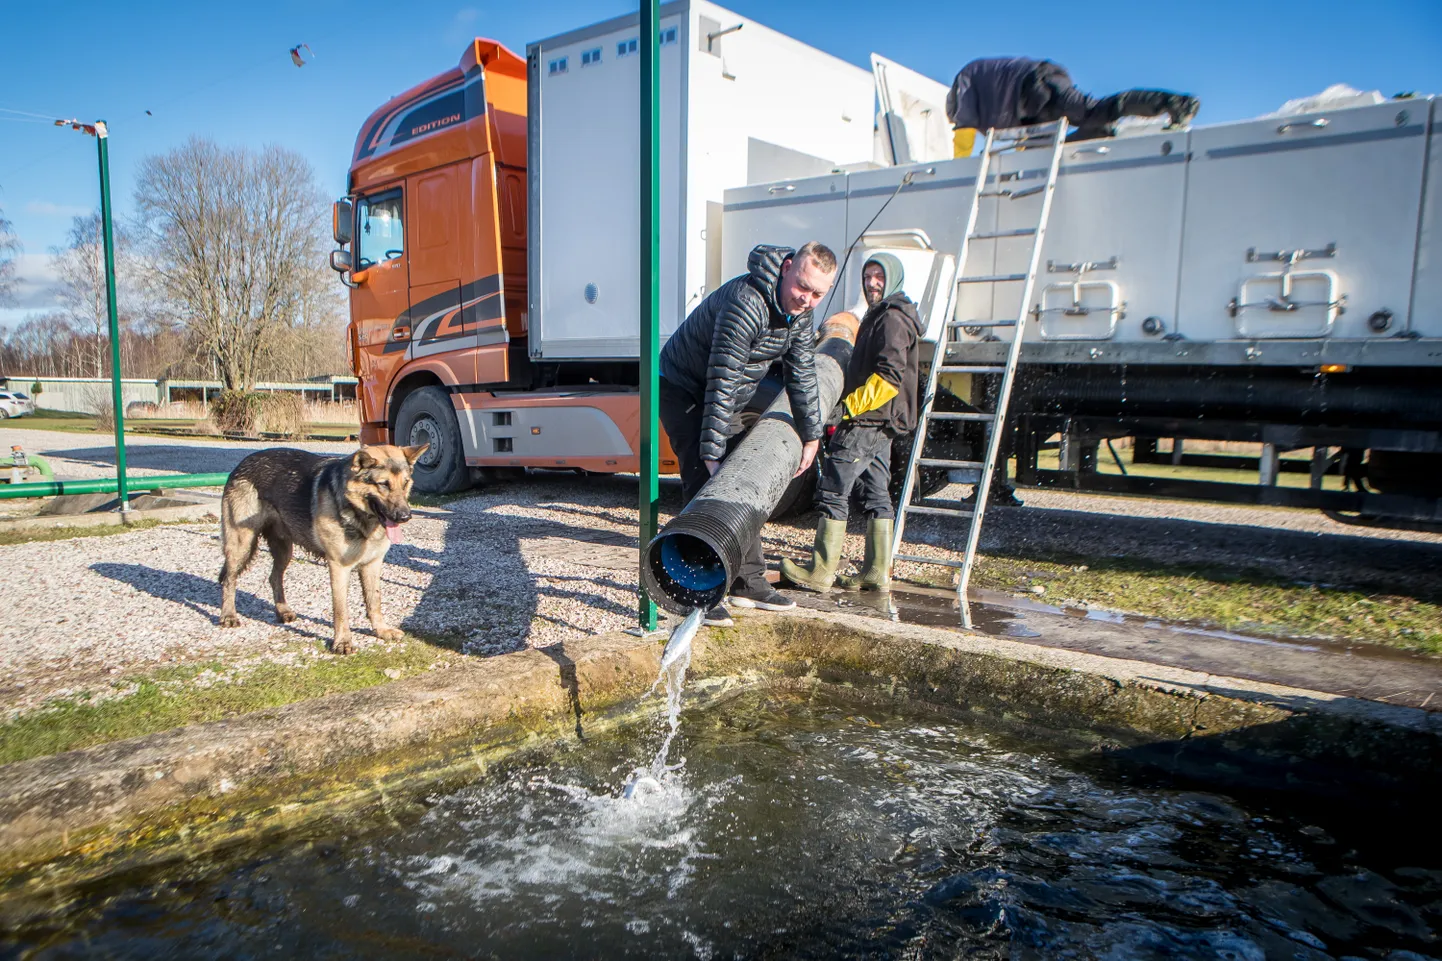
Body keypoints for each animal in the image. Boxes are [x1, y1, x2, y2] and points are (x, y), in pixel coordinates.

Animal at [216, 444, 423, 655]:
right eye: (384, 484)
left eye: (405, 483)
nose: (405, 516)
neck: (360, 514)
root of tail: (243, 462)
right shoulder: (339, 567)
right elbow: (341, 609)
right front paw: (342, 642)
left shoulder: (372, 564)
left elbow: (375, 600)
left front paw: (380, 630)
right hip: (241, 544)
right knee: (229, 580)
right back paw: (228, 615)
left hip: (284, 550)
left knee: (274, 577)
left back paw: (283, 611)